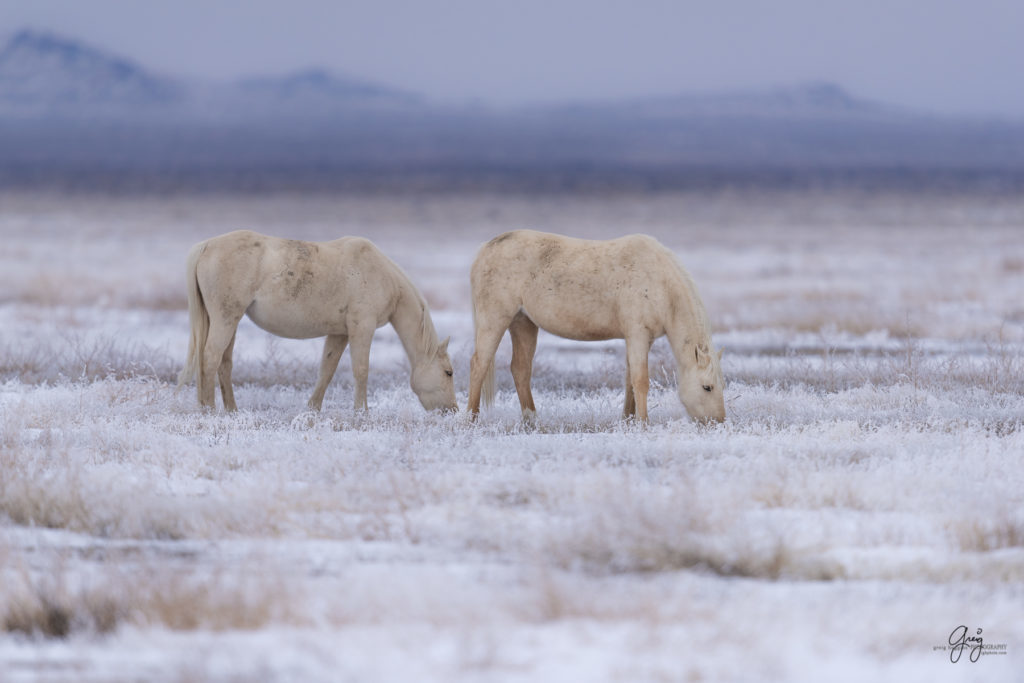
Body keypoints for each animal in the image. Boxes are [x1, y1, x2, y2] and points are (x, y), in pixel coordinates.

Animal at [177, 229, 456, 411]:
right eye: (448, 372)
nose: (452, 409)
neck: (382, 276)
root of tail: (206, 246)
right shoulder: (362, 328)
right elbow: (361, 370)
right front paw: (361, 413)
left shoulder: (340, 333)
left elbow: (327, 370)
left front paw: (313, 409)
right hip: (225, 319)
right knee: (210, 358)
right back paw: (209, 410)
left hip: (229, 321)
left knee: (224, 363)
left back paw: (231, 410)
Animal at [468, 229, 724, 421]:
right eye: (707, 387)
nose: (719, 421)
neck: (660, 283)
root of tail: (486, 248)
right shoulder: (638, 335)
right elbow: (641, 381)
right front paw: (643, 424)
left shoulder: (641, 339)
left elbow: (630, 380)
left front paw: (628, 420)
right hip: (494, 320)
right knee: (479, 365)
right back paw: (471, 418)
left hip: (523, 324)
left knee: (520, 370)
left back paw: (532, 421)